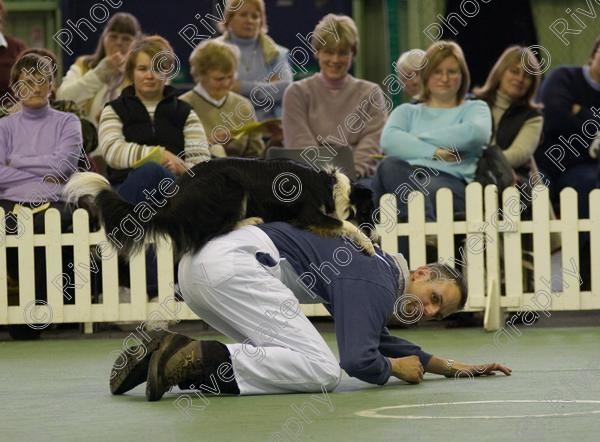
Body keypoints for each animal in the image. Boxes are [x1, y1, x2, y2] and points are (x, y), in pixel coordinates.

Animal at [64, 157, 376, 258]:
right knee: (214, 231)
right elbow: (343, 224)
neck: (329, 187)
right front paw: (368, 244)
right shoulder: (309, 214)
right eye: (371, 214)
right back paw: (250, 220)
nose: (376, 234)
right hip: (231, 187)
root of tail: (177, 193)